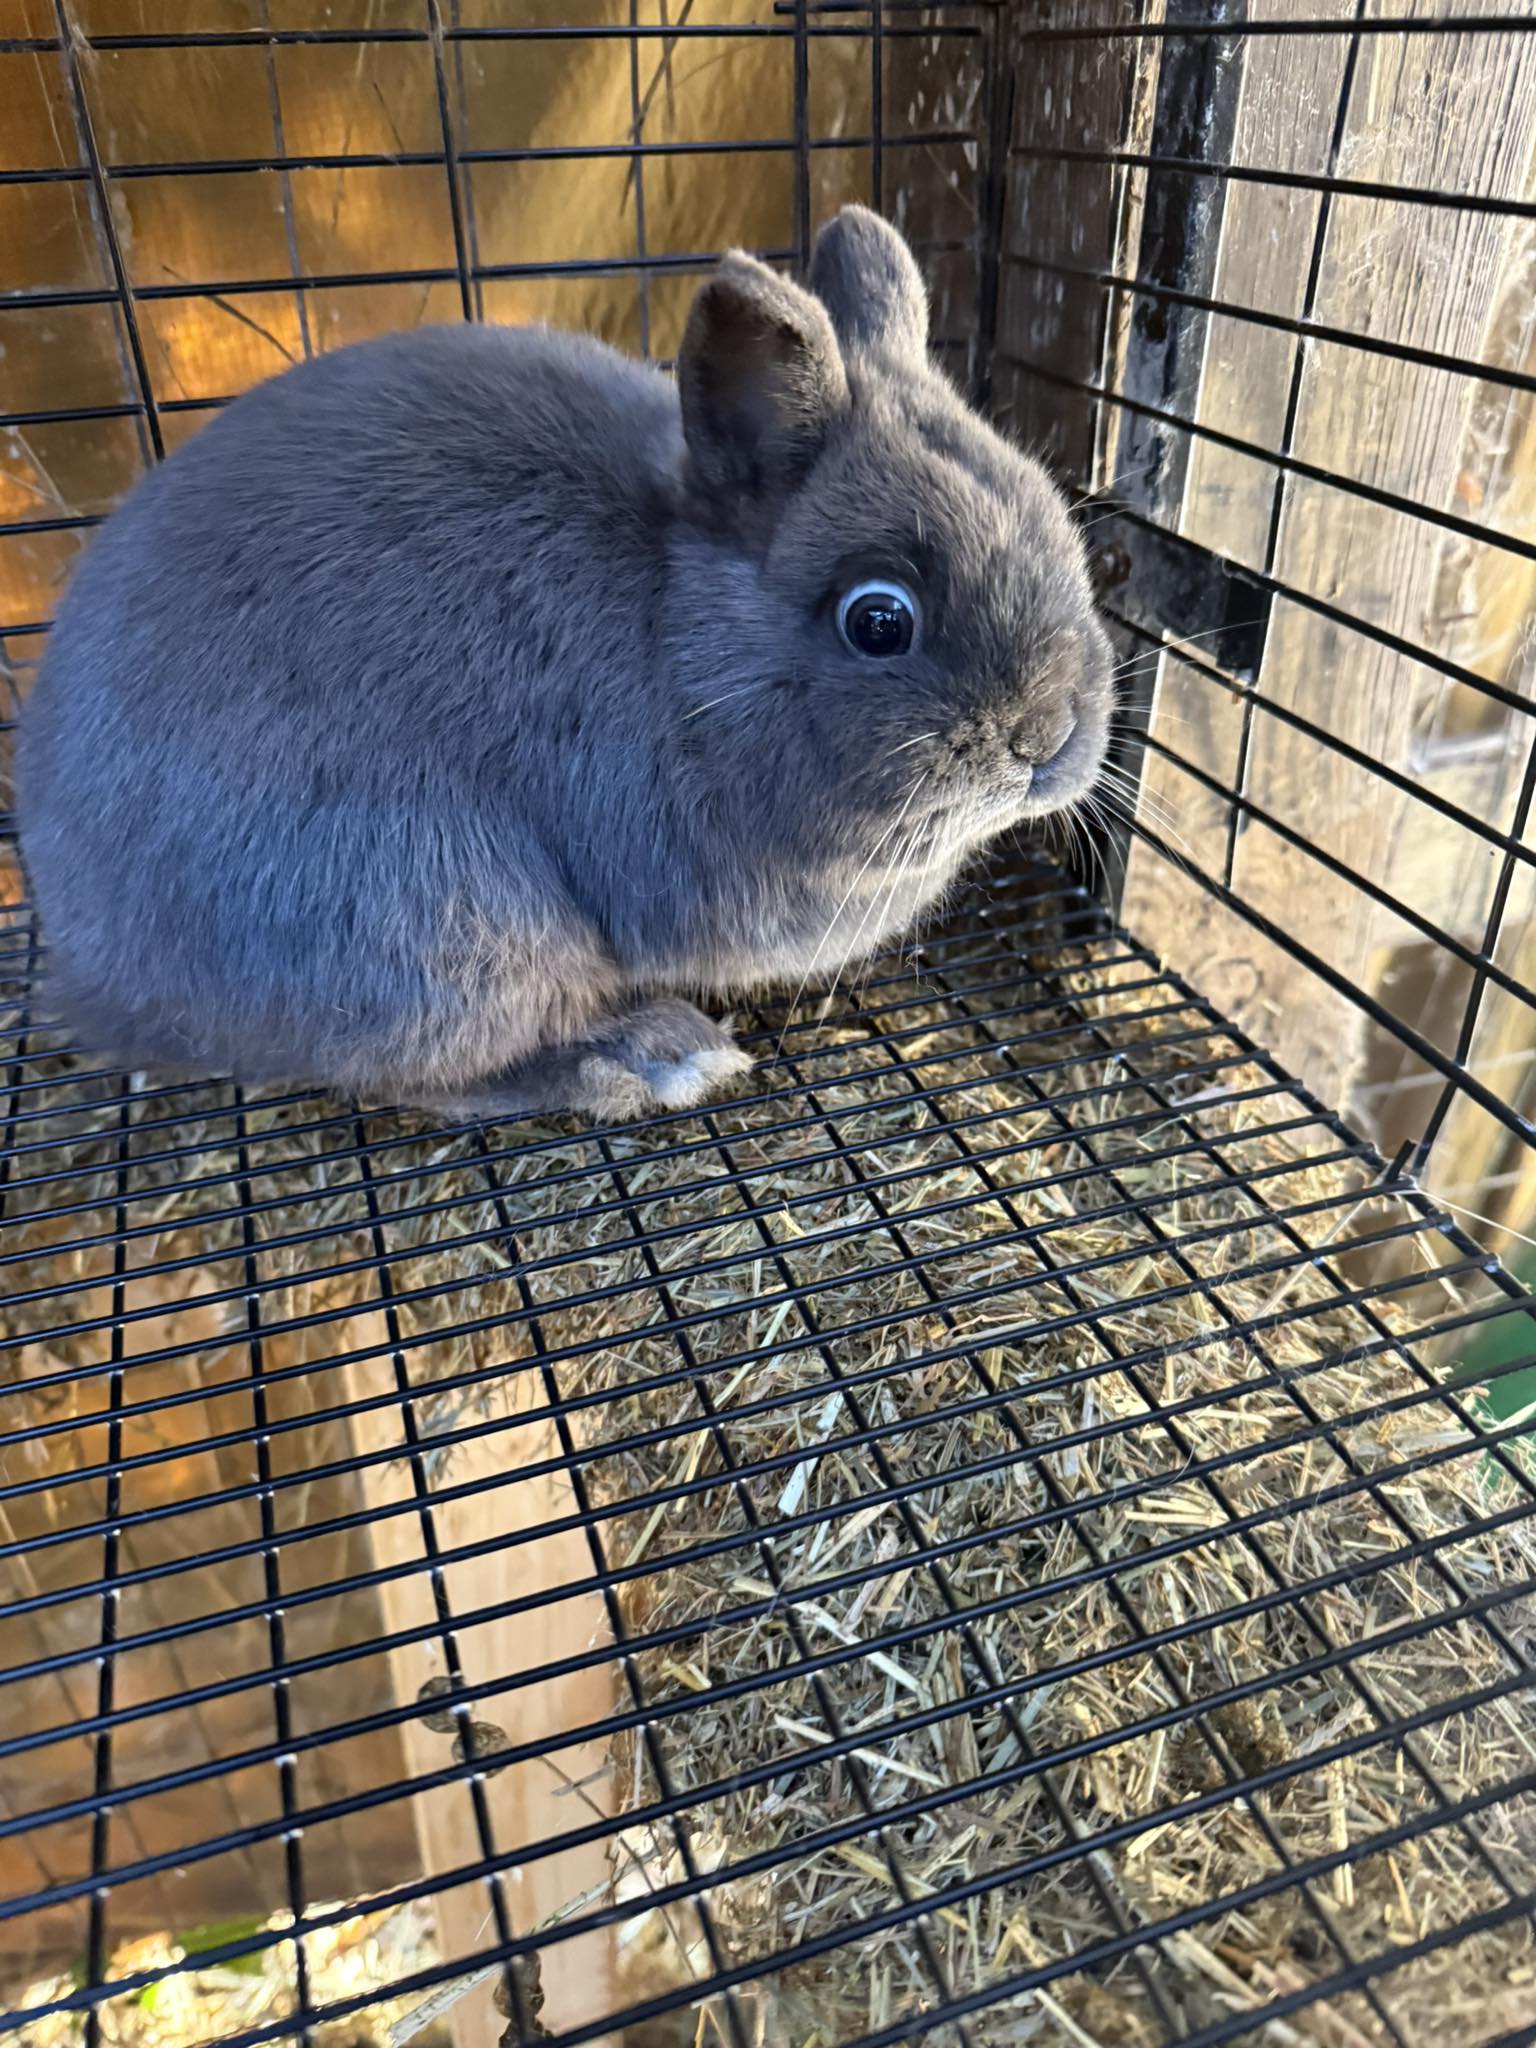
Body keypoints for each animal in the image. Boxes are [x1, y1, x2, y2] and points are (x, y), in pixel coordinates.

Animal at [17, 205, 1112, 1123]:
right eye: (878, 620)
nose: (1048, 739)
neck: (680, 633)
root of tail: (103, 972)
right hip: (438, 919)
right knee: (421, 1073)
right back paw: (648, 1056)